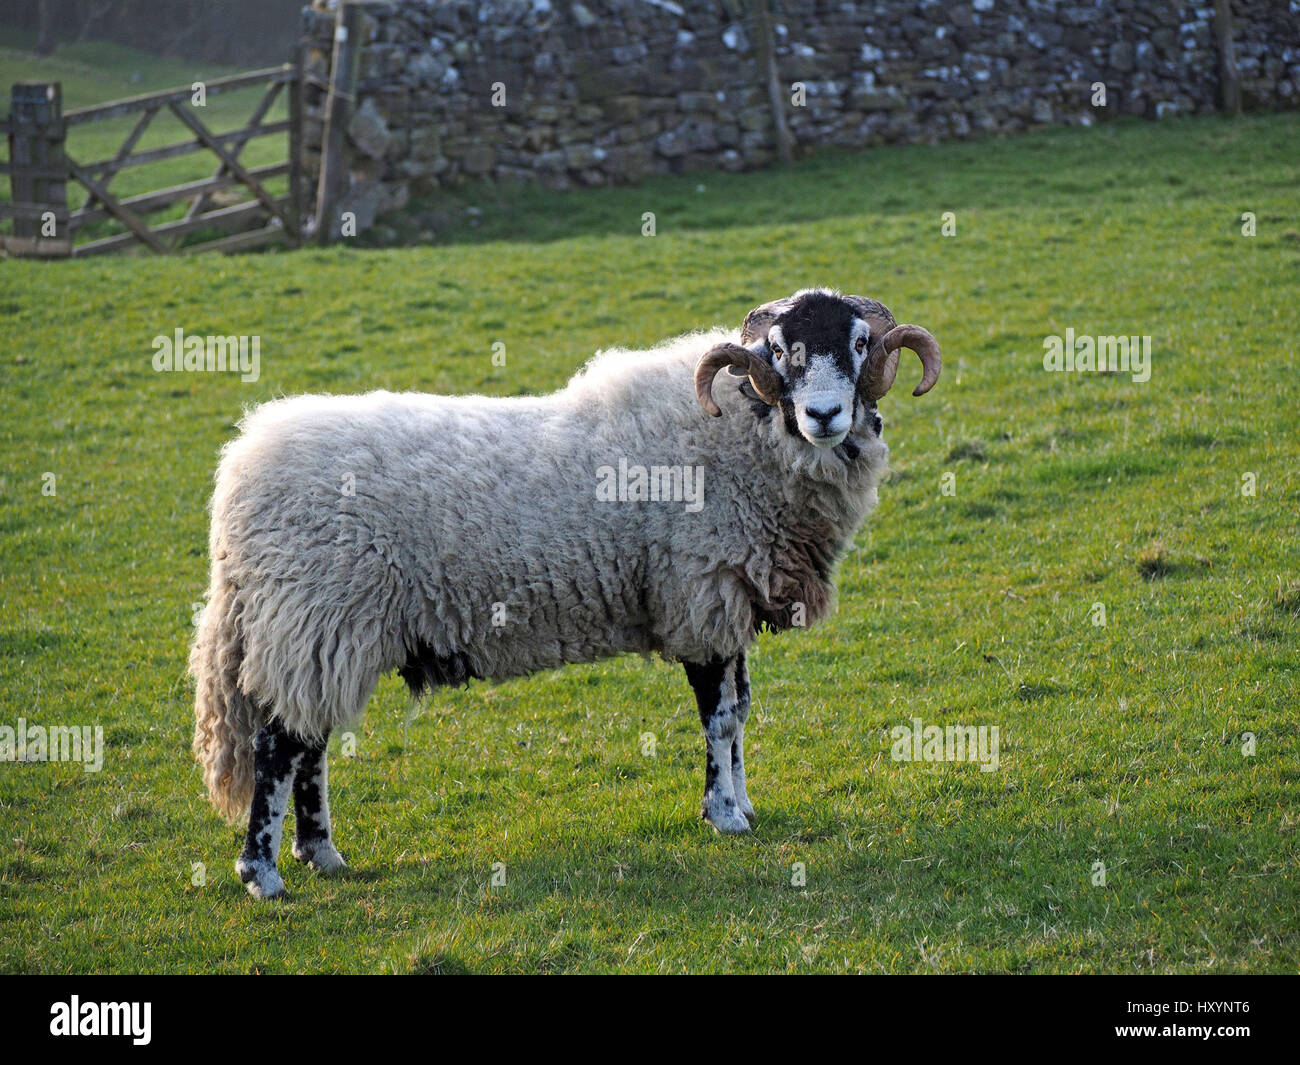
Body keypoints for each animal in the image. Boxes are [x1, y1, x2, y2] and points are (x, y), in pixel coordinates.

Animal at [188, 287, 941, 894]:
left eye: (858, 342)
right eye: (781, 351)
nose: (825, 414)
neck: (746, 429)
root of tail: (240, 473)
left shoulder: (728, 606)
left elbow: (743, 714)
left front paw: (743, 803)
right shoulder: (699, 596)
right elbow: (721, 720)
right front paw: (725, 815)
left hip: (320, 631)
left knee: (309, 745)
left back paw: (322, 854)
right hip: (314, 616)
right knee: (279, 747)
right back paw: (263, 873)